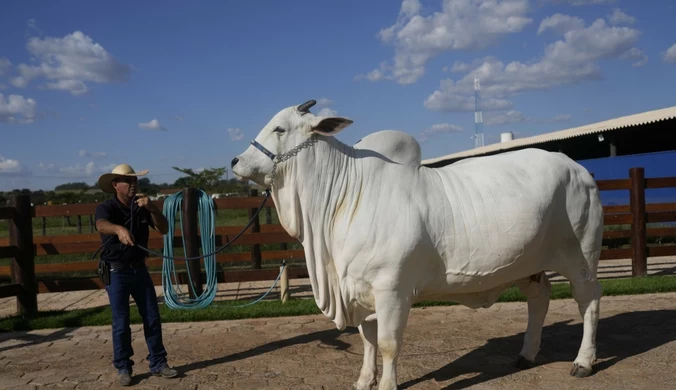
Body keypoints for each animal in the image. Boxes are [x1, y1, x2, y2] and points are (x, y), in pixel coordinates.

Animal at [231, 100, 604, 390]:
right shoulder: (361, 289)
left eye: (280, 129)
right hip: (531, 264)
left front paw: (386, 384)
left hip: (581, 258)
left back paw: (583, 362)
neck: (344, 197)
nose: (235, 162)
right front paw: (364, 380)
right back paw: (526, 354)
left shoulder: (391, 289)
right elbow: (367, 339)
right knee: (539, 299)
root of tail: (578, 169)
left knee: (588, 302)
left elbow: (388, 343)